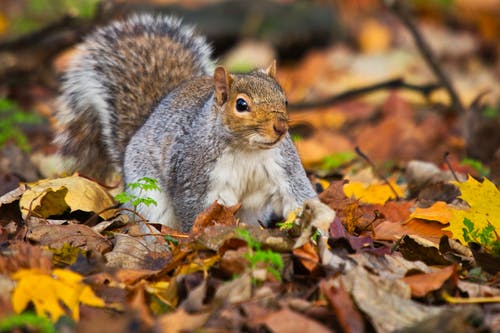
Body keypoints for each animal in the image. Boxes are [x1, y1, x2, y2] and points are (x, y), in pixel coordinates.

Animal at [55, 14, 336, 231]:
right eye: (241, 105)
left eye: (285, 99)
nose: (280, 127)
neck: (248, 149)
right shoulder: (194, 175)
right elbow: (194, 211)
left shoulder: (284, 166)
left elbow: (299, 196)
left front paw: (321, 227)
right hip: (147, 195)